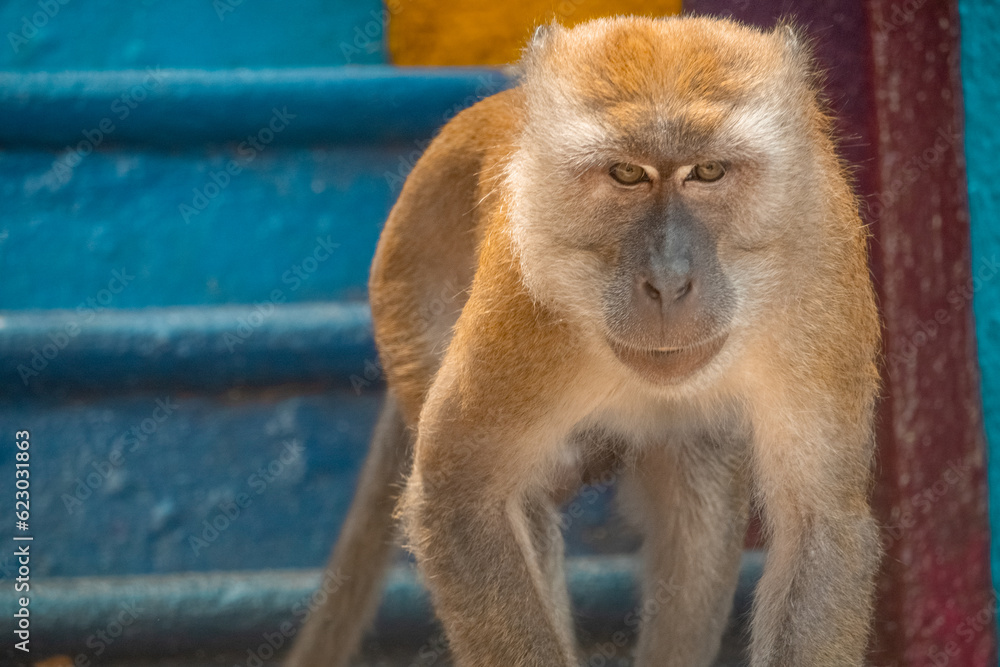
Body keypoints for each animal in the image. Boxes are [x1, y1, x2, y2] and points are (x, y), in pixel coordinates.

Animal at [285, 14, 881, 667]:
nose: (668, 281)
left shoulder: (821, 270)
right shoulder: (521, 293)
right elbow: (459, 498)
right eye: (627, 173)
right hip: (406, 306)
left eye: (707, 172)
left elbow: (819, 524)